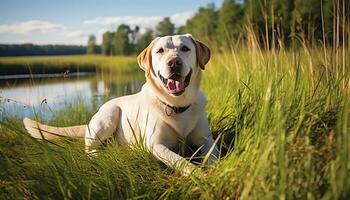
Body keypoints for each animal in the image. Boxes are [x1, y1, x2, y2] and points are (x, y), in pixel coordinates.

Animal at [23, 34, 217, 175]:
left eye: (185, 48)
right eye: (160, 51)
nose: (174, 62)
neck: (176, 104)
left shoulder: (206, 140)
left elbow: (213, 156)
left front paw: (216, 171)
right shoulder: (156, 144)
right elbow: (179, 160)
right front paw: (200, 176)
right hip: (108, 116)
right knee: (89, 150)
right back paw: (100, 155)